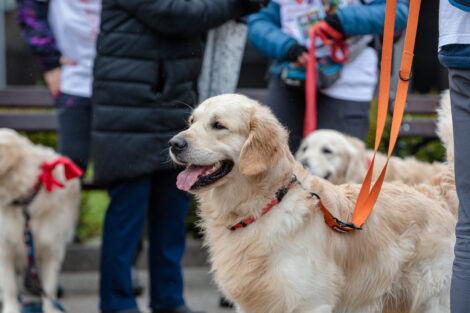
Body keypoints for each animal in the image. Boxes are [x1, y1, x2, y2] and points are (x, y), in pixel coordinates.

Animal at [0, 129, 80, 312]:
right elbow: (10, 287)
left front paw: (50, 309)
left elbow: (48, 289)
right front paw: (11, 309)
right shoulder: (5, 248)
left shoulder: (52, 248)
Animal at [168, 93, 456, 312]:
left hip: (434, 301)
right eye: (191, 122)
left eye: (218, 125)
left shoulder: (310, 302)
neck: (265, 204)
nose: (174, 143)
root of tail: (437, 190)